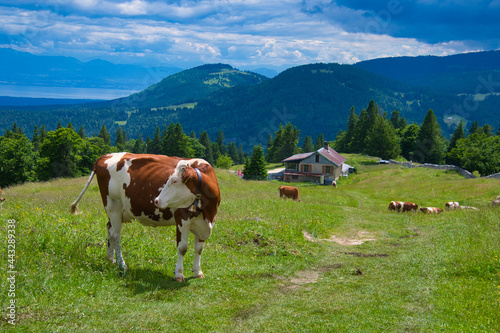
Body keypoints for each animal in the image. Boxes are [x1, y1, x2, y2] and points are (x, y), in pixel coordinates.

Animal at [71, 152, 221, 280]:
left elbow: (199, 249)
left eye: (173, 181)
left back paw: (110, 258)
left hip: (119, 211)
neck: (208, 212)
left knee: (110, 228)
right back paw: (121, 264)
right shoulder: (182, 219)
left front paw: (198, 272)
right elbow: (182, 248)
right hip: (113, 205)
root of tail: (107, 155)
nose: (156, 200)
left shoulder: (204, 224)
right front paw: (179, 274)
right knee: (116, 234)